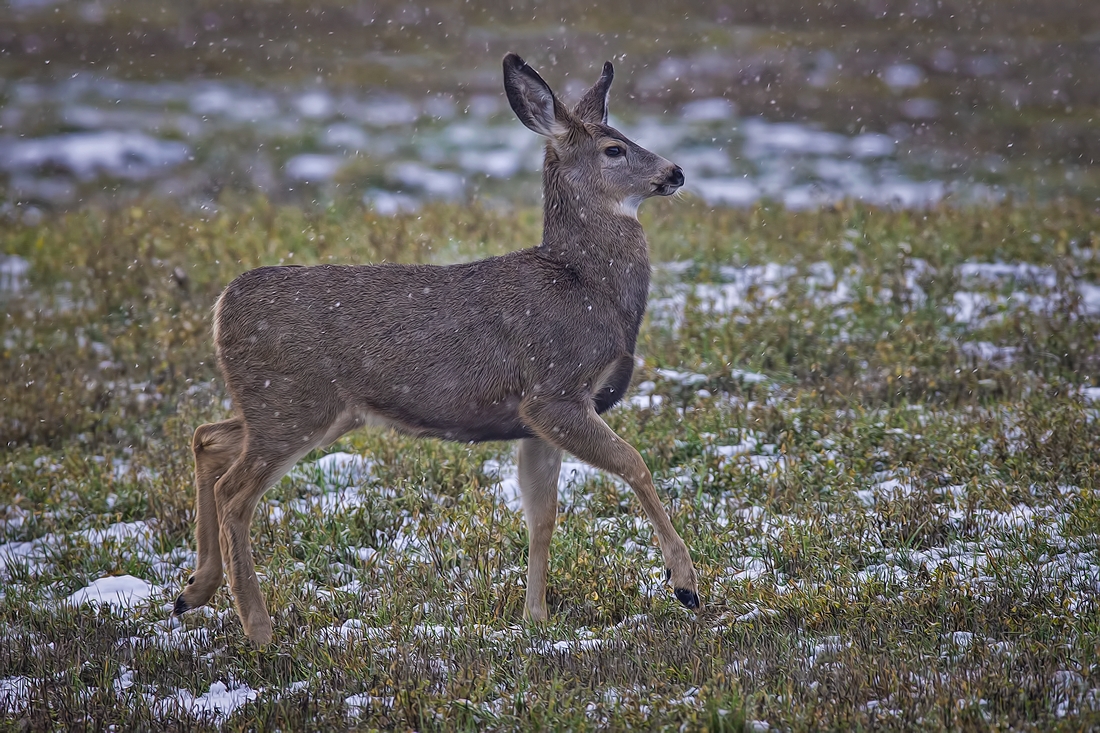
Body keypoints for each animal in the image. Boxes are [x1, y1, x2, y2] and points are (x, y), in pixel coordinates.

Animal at [176, 54, 699, 642]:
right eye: (614, 148)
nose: (675, 173)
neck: (589, 286)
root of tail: (222, 306)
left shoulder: (532, 420)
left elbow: (541, 516)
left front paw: (535, 618)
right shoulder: (555, 390)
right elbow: (634, 464)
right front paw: (684, 582)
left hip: (303, 408)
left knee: (208, 438)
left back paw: (193, 590)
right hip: (290, 401)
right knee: (234, 493)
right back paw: (258, 627)